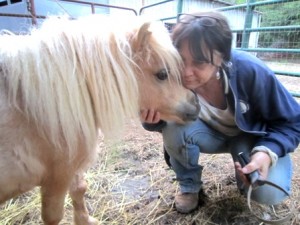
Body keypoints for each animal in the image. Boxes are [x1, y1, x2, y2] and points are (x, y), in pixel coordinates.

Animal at [0, 14, 199, 224]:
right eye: (162, 74)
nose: (196, 103)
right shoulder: (57, 177)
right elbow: (53, 216)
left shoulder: (72, 166)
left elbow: (80, 189)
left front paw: (86, 220)